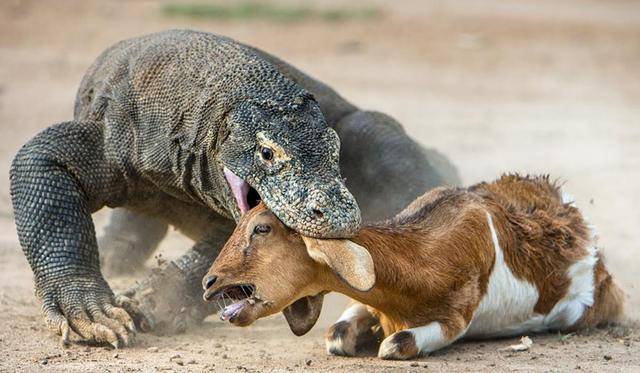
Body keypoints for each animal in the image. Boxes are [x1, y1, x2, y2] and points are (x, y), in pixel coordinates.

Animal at [202, 174, 624, 358]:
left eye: (262, 228)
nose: (209, 282)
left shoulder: (455, 318)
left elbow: (396, 345)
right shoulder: (367, 301)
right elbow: (337, 334)